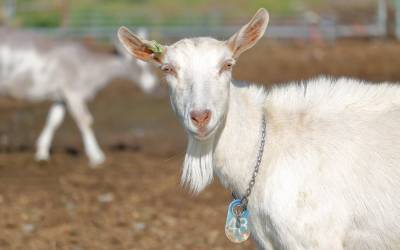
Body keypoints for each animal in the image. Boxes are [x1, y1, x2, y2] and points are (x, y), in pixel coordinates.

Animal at [0, 27, 158, 166]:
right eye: (139, 64)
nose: (152, 85)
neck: (87, 66)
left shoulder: (62, 96)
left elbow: (54, 120)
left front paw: (42, 153)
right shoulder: (74, 93)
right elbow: (85, 120)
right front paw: (96, 156)